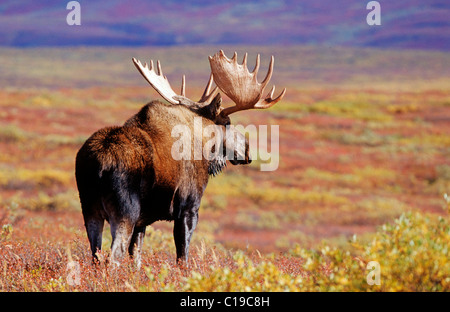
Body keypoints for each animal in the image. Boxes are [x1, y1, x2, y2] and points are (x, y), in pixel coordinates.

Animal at [74, 50, 284, 266]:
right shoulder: (188, 208)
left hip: (90, 211)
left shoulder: (142, 221)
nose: (248, 150)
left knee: (96, 256)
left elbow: (136, 258)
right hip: (124, 212)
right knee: (113, 257)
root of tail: (98, 166)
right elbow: (182, 257)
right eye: (227, 122)